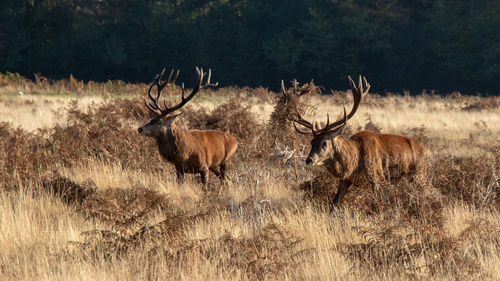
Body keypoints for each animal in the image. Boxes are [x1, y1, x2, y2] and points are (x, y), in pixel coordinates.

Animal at [294, 75, 428, 207]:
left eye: (324, 143)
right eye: (311, 142)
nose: (309, 160)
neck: (353, 162)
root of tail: (425, 150)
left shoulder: (376, 176)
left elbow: (375, 203)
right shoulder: (345, 180)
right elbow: (334, 203)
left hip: (419, 173)